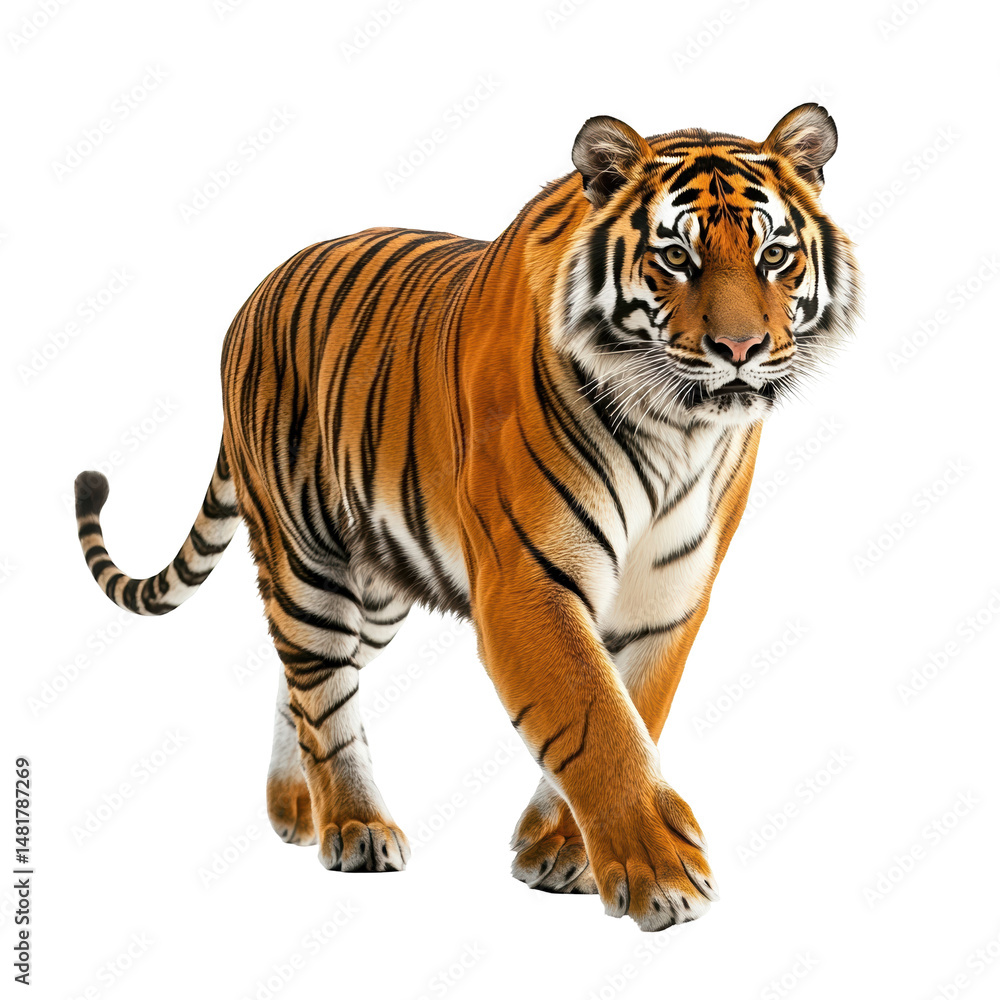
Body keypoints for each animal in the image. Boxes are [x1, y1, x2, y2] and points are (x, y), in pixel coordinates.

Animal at [74, 103, 861, 931]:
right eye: (676, 257)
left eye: (774, 255)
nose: (741, 348)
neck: (677, 428)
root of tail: (253, 296)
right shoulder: (526, 582)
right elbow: (596, 720)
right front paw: (663, 876)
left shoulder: (669, 596)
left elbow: (634, 707)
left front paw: (560, 850)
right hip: (308, 559)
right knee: (320, 684)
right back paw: (353, 825)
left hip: (378, 589)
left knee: (301, 683)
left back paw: (297, 808)